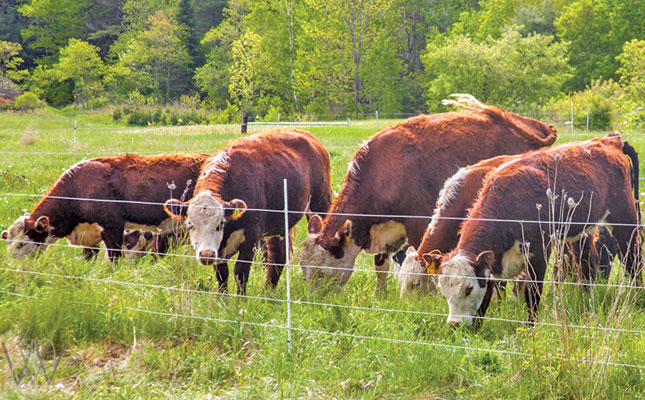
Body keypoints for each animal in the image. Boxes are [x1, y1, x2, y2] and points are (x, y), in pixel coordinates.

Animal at [1, 152, 208, 260]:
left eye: (21, 243)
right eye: (8, 243)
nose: (11, 268)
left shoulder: (112, 226)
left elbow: (115, 259)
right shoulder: (89, 237)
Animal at [161, 128, 332, 294]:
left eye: (219, 224)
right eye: (191, 225)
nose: (206, 255)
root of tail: (306, 135)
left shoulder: (251, 236)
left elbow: (240, 272)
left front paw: (240, 300)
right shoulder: (219, 249)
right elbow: (221, 273)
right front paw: (223, 299)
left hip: (320, 204)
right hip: (280, 225)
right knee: (278, 256)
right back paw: (268, 292)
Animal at [300, 95, 556, 292]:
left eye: (321, 272)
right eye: (303, 268)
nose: (314, 300)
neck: (380, 168)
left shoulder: (418, 225)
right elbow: (381, 266)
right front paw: (380, 295)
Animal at [426, 133, 640, 326]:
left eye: (468, 288)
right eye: (443, 291)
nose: (454, 324)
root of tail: (608, 140)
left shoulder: (538, 252)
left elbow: (532, 294)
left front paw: (530, 330)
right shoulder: (491, 264)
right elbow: (487, 297)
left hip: (624, 219)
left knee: (633, 259)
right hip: (582, 231)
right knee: (587, 264)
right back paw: (587, 303)